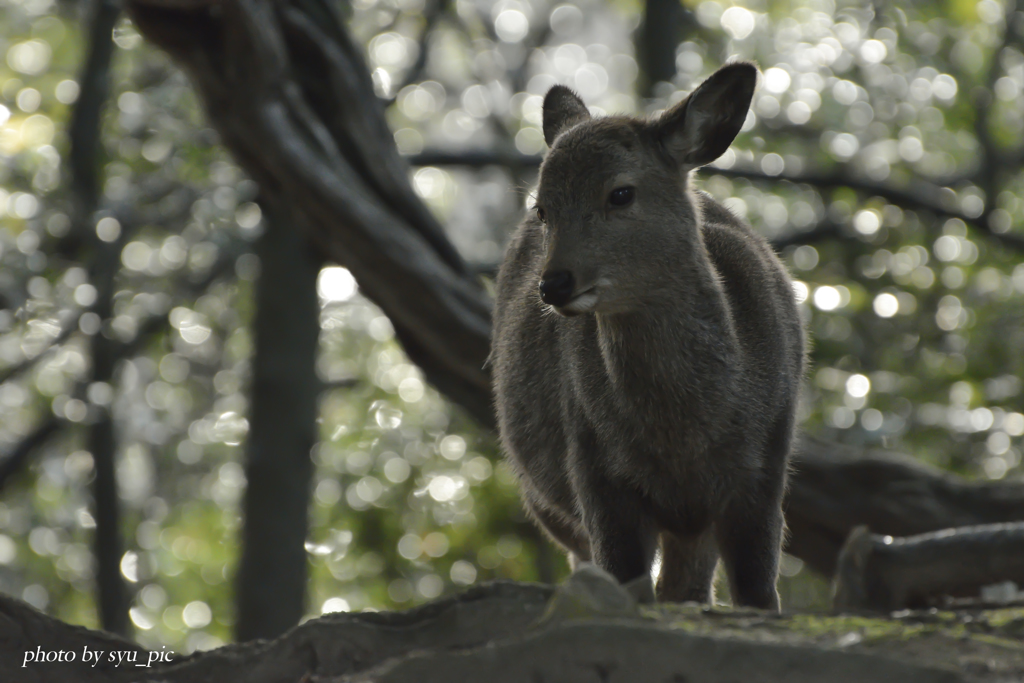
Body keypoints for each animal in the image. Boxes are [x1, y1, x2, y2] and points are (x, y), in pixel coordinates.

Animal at [491, 62, 802, 610]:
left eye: (621, 192)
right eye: (542, 208)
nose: (554, 283)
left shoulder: (765, 466)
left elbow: (759, 592)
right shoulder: (593, 467)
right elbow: (625, 584)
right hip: (544, 501)